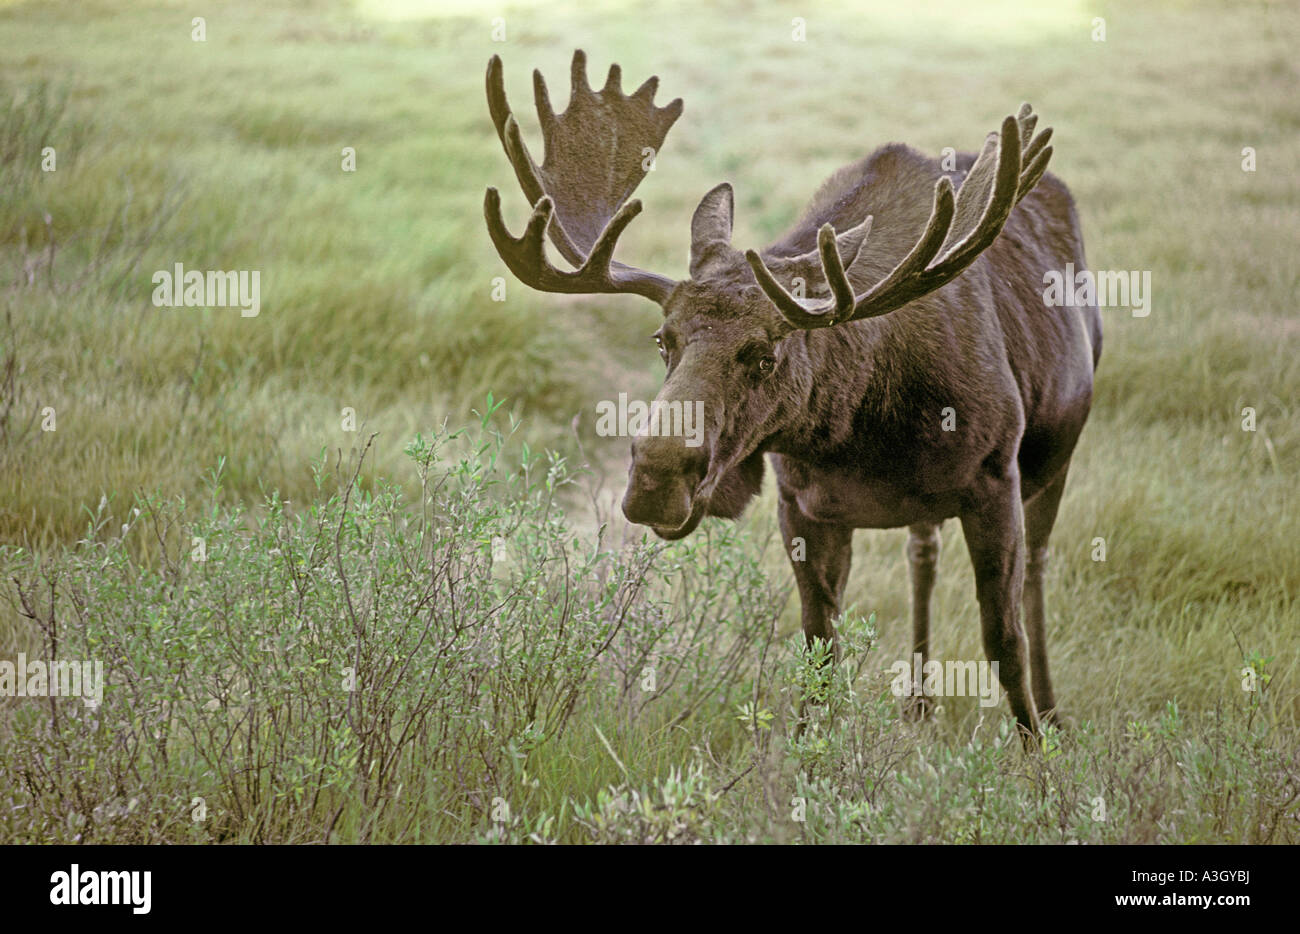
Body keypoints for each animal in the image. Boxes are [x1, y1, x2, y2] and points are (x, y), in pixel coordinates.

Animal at [482, 50, 1101, 741]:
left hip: (1055, 459)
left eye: (764, 355)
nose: (656, 480)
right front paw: (806, 755)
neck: (862, 428)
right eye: (663, 339)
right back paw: (918, 700)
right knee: (922, 552)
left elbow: (1004, 643)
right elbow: (818, 647)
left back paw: (1052, 709)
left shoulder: (995, 479)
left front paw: (1038, 756)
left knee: (1036, 572)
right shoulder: (802, 505)